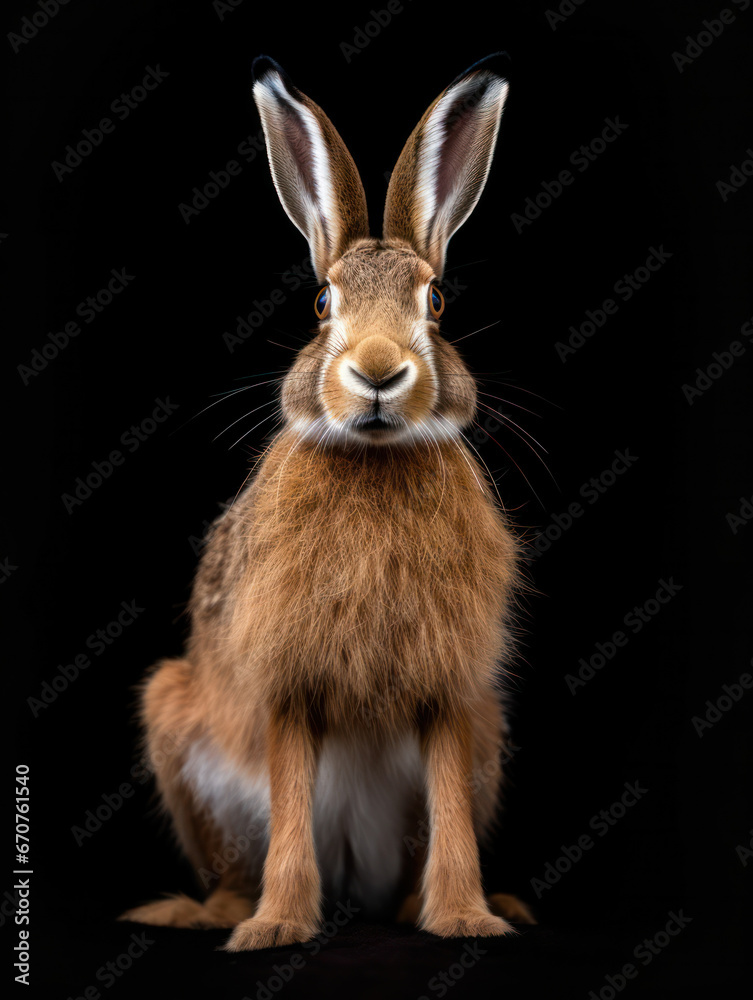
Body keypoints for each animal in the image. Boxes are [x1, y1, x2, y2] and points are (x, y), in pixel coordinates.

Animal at [120, 52, 535, 951]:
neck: (373, 462)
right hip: (177, 723)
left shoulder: (449, 692)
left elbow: (451, 812)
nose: (378, 372)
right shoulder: (288, 684)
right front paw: (277, 928)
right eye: (320, 303)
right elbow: (288, 813)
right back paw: (208, 914)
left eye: (436, 302)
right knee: (235, 866)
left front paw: (465, 919)